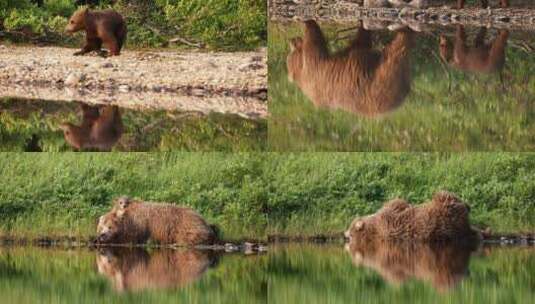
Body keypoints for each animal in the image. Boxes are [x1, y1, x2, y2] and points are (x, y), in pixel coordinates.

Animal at [286, 19, 416, 117]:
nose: (293, 39)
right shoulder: (315, 71)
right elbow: (314, 42)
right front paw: (308, 21)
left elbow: (360, 42)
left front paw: (361, 25)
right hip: (381, 81)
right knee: (396, 50)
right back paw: (405, 31)